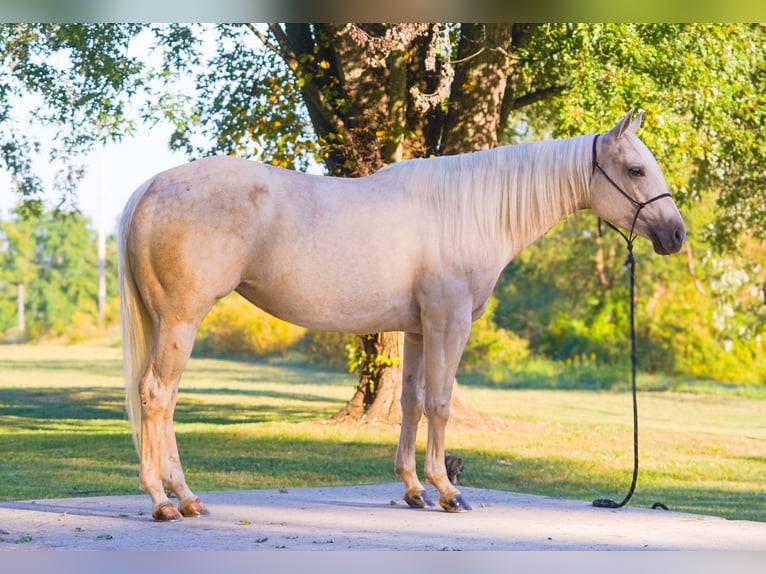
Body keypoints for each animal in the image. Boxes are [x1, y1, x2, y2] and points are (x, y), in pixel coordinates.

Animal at [118, 110, 686, 521]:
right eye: (635, 169)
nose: (675, 234)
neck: (469, 211)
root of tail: (151, 188)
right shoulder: (448, 322)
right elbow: (439, 403)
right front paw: (448, 491)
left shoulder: (416, 329)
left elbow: (411, 402)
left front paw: (414, 489)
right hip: (182, 321)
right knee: (157, 396)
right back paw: (166, 501)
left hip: (170, 324)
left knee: (163, 400)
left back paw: (185, 498)